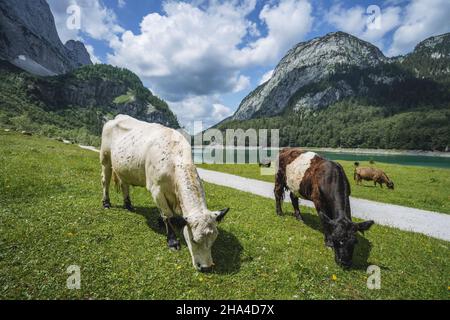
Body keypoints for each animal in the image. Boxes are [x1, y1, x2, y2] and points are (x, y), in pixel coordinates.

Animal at [100, 114, 230, 272]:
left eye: (214, 239)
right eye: (193, 240)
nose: (206, 267)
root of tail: (117, 117)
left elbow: (169, 214)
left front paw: (161, 222)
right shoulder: (156, 189)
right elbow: (167, 215)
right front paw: (172, 241)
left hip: (124, 167)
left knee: (125, 184)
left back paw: (128, 205)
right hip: (105, 158)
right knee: (105, 181)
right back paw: (106, 203)